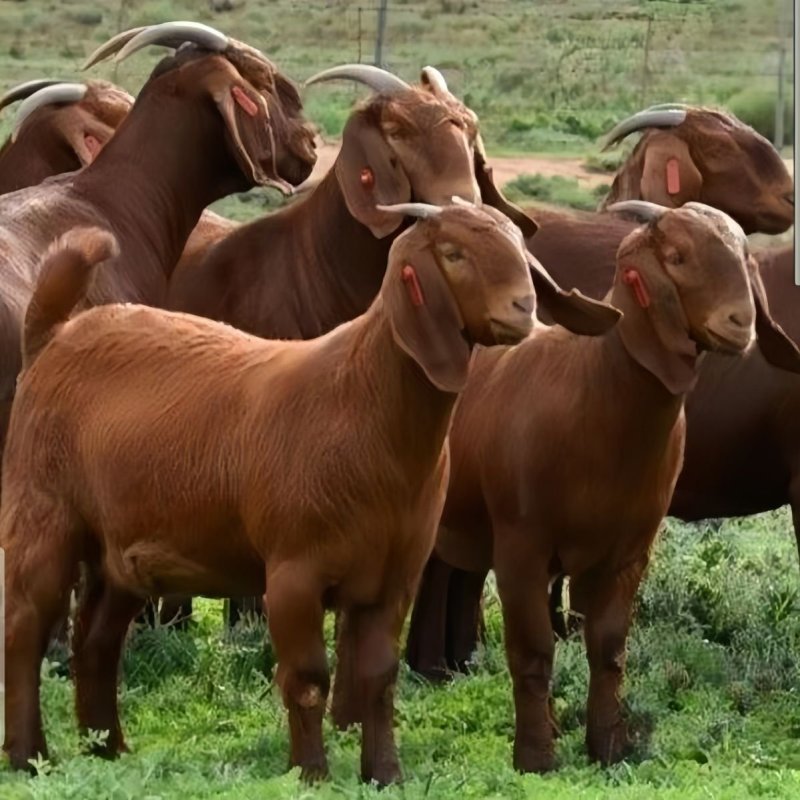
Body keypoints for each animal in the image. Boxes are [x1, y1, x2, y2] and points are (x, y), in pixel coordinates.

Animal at [0, 202, 620, 780]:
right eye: (453, 254)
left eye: (520, 248)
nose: (523, 309)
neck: (362, 406)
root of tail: (54, 335)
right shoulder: (293, 573)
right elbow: (306, 679)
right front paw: (312, 772)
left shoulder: (392, 580)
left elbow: (377, 677)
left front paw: (384, 773)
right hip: (44, 517)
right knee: (25, 628)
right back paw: (31, 756)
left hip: (122, 552)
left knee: (96, 641)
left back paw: (107, 748)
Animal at [410, 203, 796, 772]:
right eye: (677, 257)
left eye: (743, 257)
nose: (739, 323)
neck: (594, 390)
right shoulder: (522, 550)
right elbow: (533, 650)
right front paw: (536, 756)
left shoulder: (626, 552)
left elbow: (609, 648)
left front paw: (608, 746)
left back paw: (438, 665)